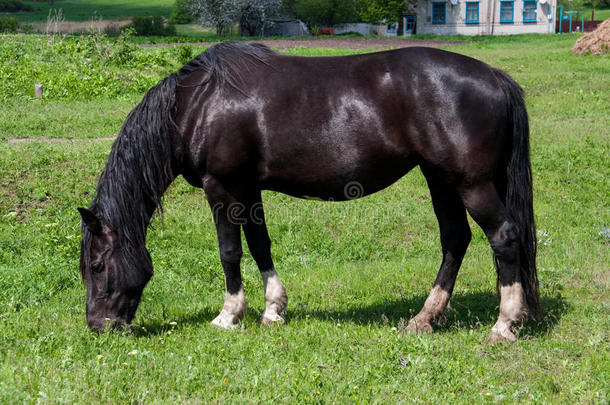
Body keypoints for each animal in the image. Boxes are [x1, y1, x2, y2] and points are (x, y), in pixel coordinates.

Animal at [78, 42, 540, 342]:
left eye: (97, 265)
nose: (99, 327)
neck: (198, 104)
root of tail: (495, 77)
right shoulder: (248, 188)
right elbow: (259, 245)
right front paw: (273, 310)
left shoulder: (221, 186)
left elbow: (230, 251)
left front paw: (229, 316)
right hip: (440, 179)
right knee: (455, 240)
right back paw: (425, 319)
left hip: (470, 183)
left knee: (503, 236)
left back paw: (504, 325)